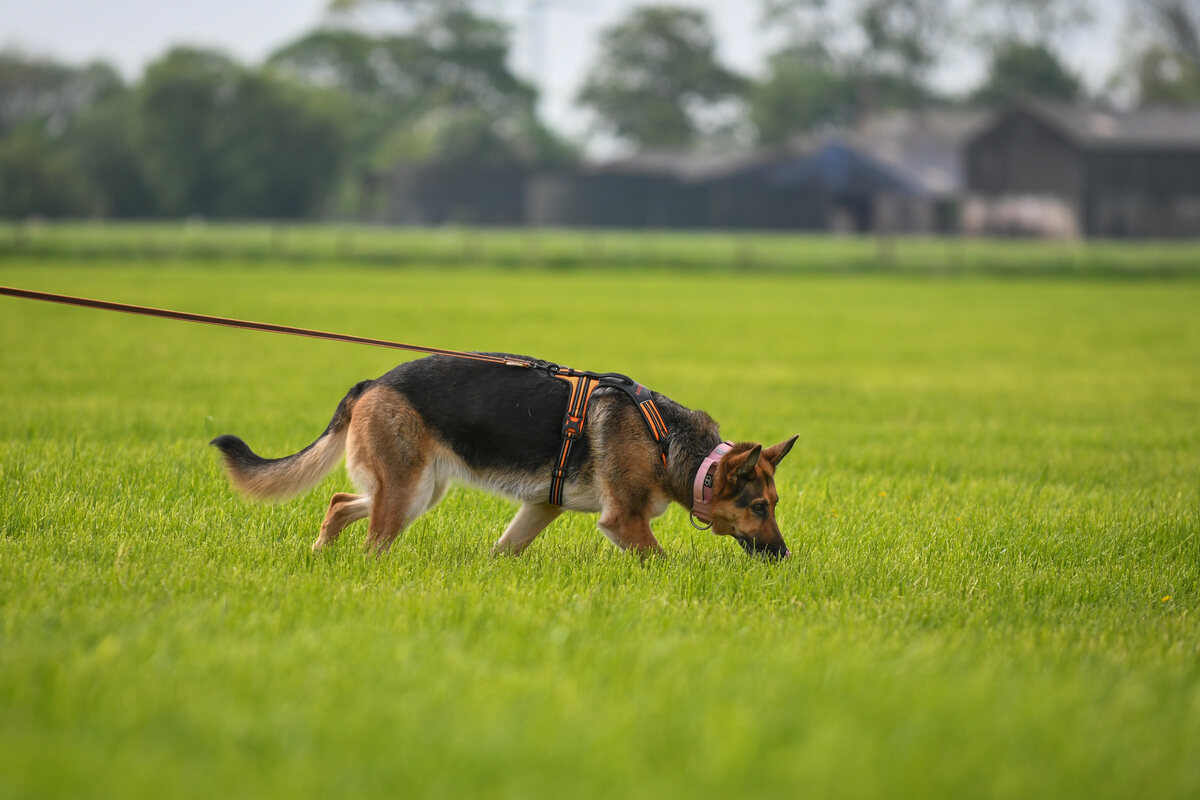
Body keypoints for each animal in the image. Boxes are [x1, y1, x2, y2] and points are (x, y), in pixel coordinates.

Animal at [212, 355, 801, 556]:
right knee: (371, 542)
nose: (784, 557)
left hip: (418, 492)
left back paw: (320, 555)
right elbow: (663, 560)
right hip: (405, 494)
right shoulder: (625, 521)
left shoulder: (540, 507)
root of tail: (371, 383)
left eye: (773, 506)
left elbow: (505, 549)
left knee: (338, 501)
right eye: (758, 508)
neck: (676, 448)